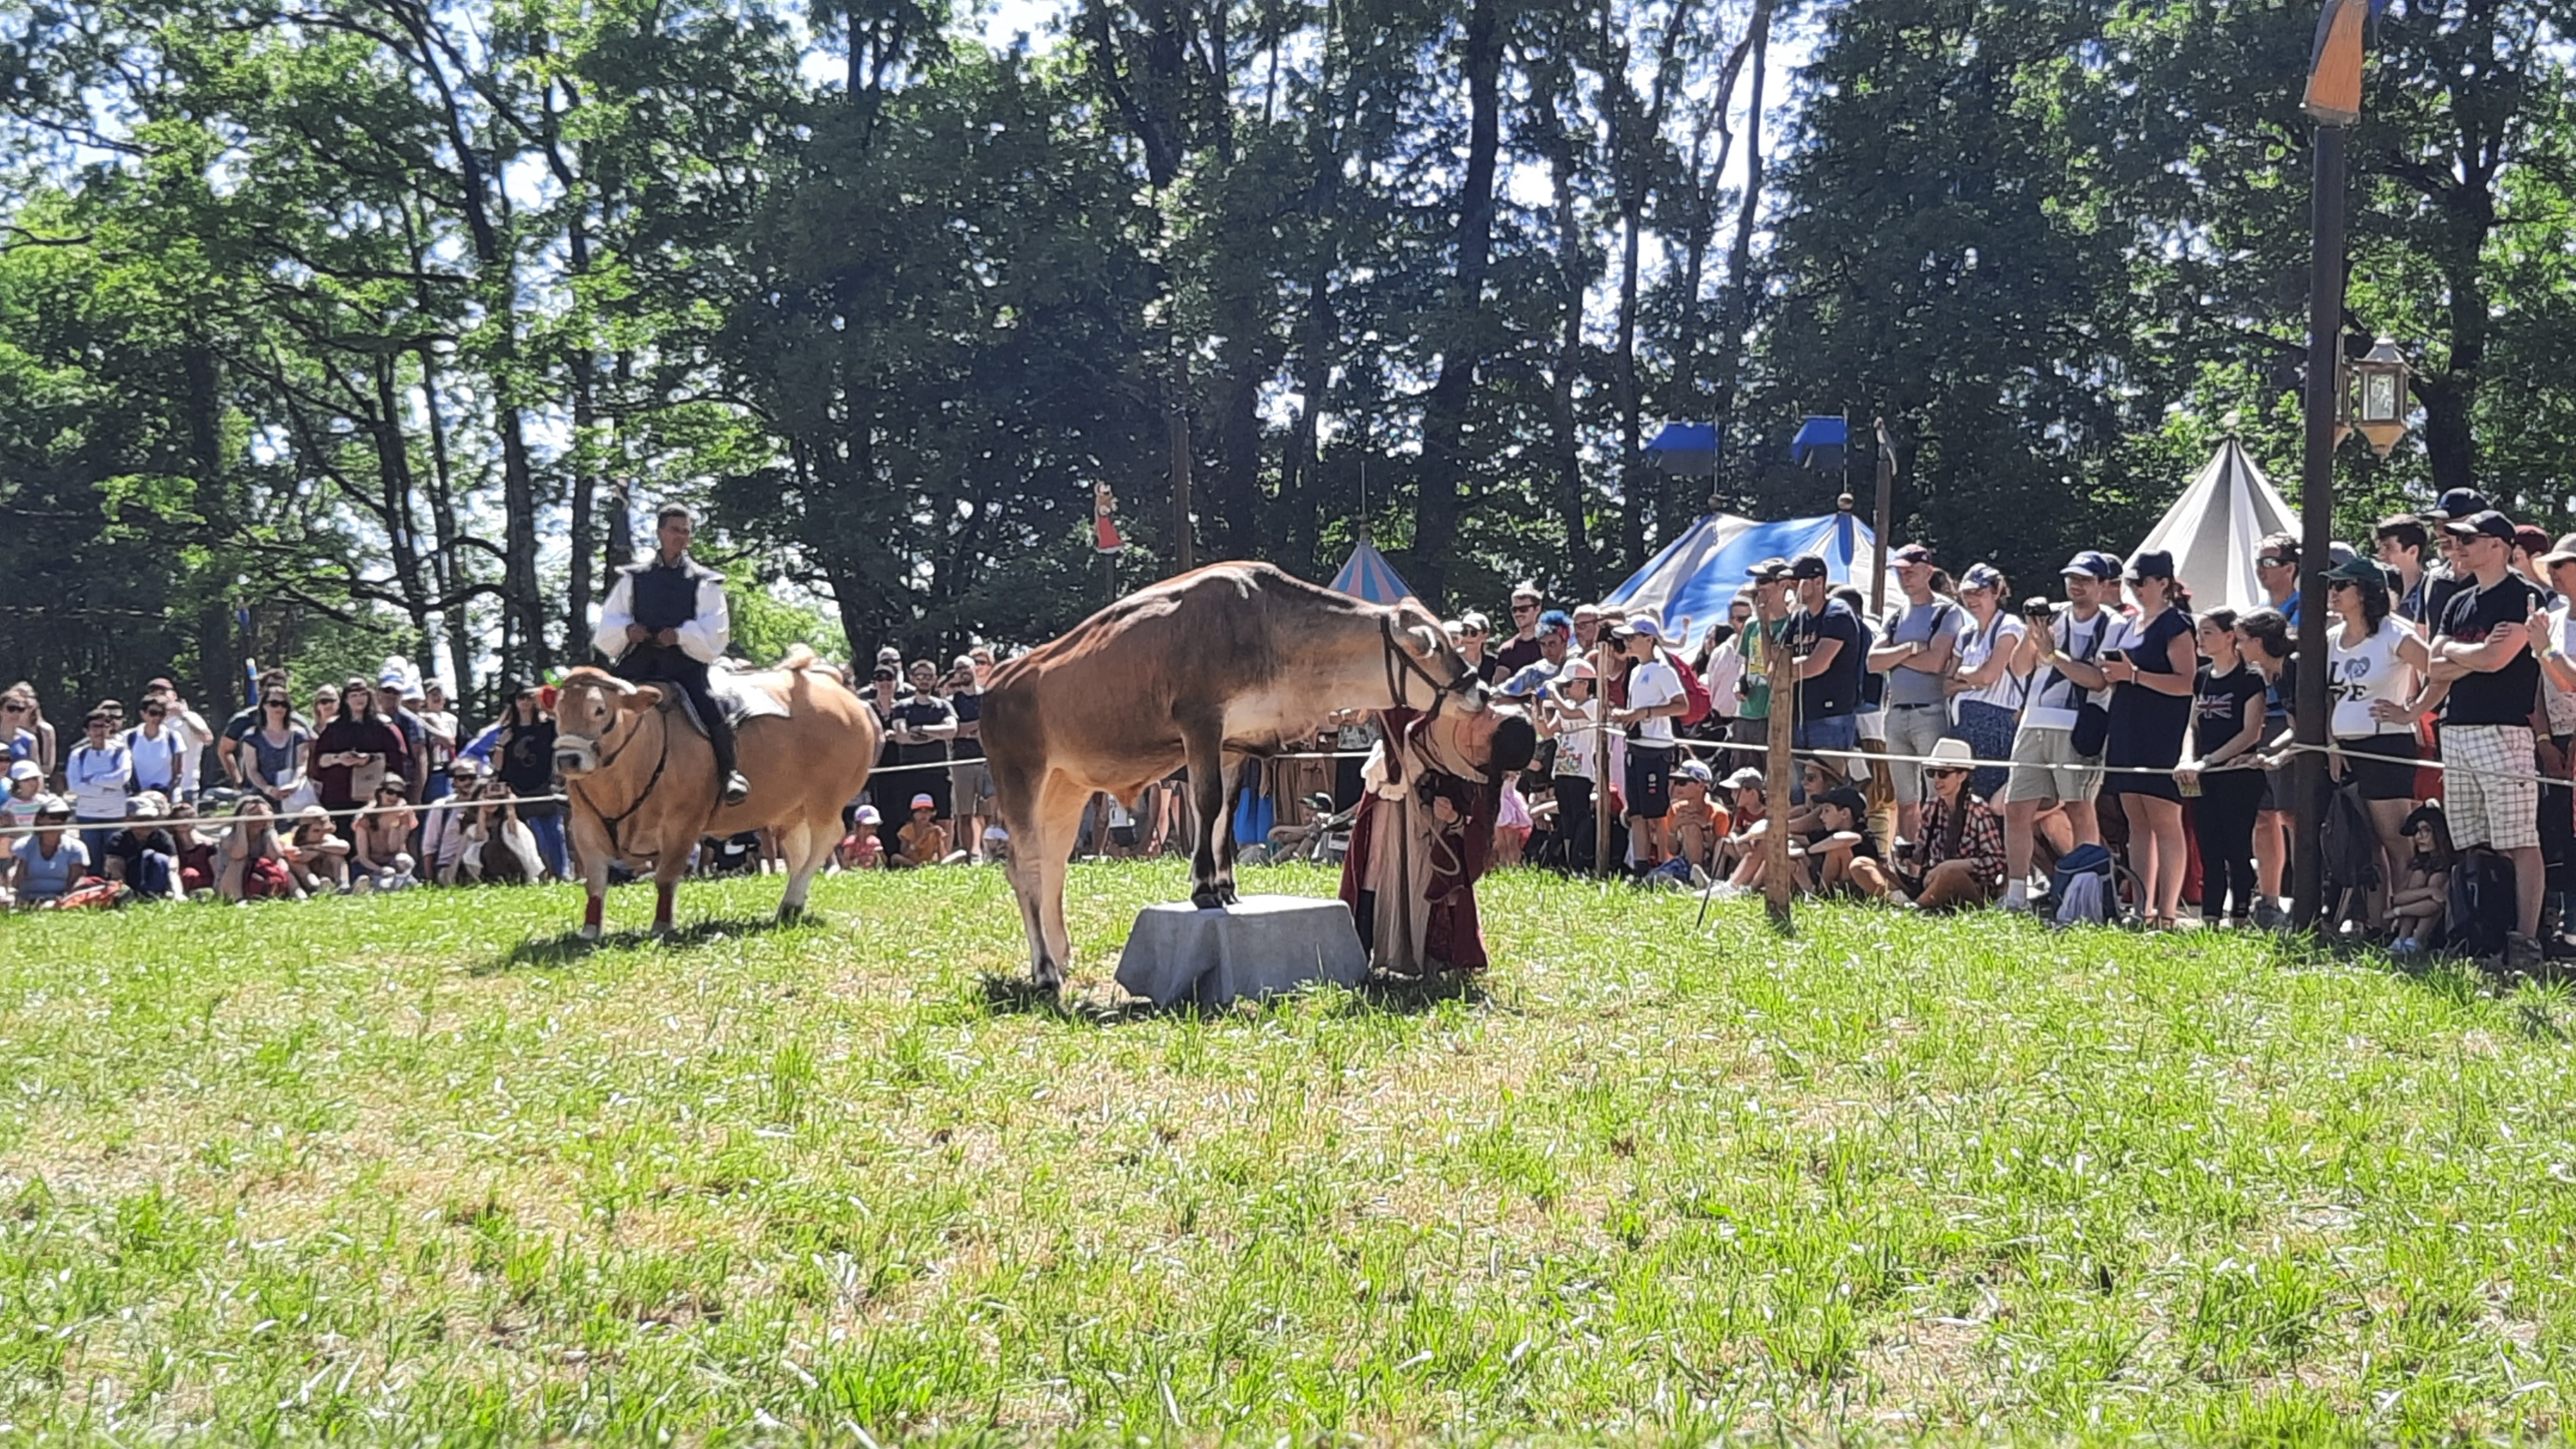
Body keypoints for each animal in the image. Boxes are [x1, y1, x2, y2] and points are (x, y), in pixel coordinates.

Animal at [552, 646, 877, 938]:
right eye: (557, 712)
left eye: (599, 709)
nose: (568, 759)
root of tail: (833, 686)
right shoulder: (585, 826)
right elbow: (595, 882)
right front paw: (589, 931)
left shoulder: (683, 824)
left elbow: (666, 876)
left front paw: (661, 926)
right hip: (791, 809)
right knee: (800, 850)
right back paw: (793, 905)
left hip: (826, 799)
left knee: (826, 840)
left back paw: (792, 900)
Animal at [980, 561, 1524, 992]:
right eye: (1434, 647)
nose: (1480, 691)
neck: (1269, 629)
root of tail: (999, 680)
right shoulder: (1201, 723)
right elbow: (1206, 802)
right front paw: (1204, 889)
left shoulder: (1233, 741)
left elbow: (1227, 809)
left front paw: (1225, 886)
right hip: (1020, 777)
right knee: (1026, 868)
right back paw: (1046, 972)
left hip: (1065, 789)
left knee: (1052, 866)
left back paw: (1060, 958)